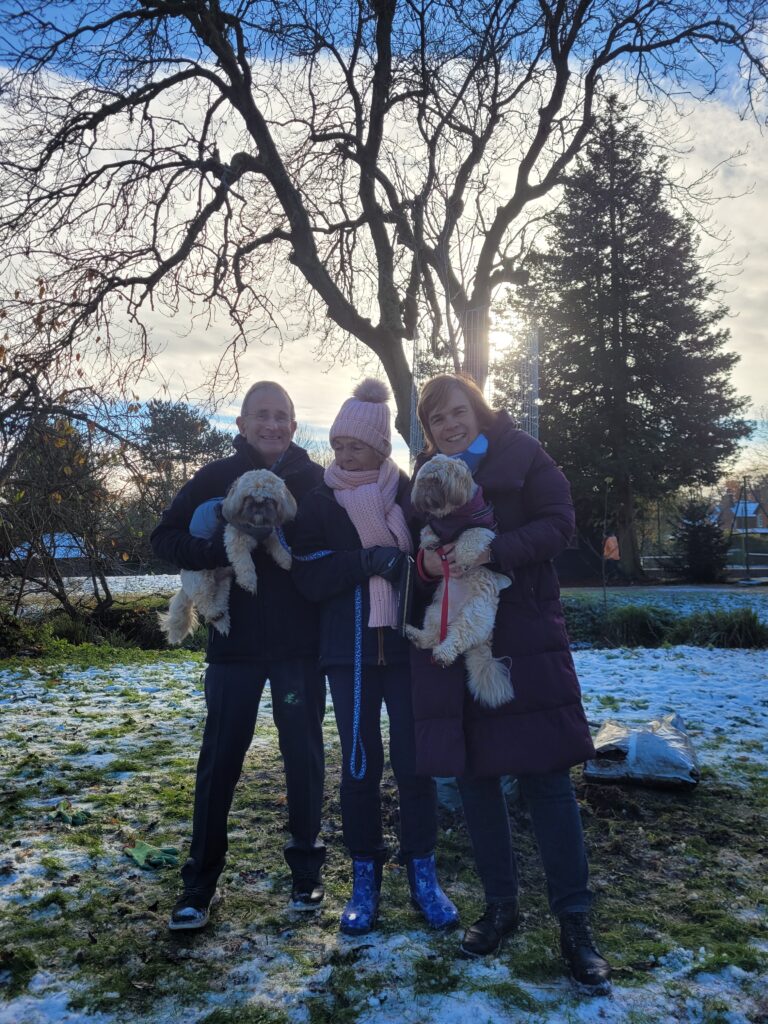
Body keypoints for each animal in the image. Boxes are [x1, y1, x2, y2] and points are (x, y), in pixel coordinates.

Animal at [159, 468, 296, 643]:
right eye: (248, 497)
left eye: (269, 499)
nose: (258, 504)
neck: (255, 526)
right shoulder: (235, 541)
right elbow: (245, 564)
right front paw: (249, 582)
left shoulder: (269, 534)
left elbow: (279, 547)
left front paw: (287, 560)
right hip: (201, 578)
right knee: (204, 601)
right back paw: (214, 613)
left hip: (223, 584)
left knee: (219, 601)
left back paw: (222, 622)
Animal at [403, 458, 518, 708]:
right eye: (422, 481)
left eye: (437, 481)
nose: (426, 489)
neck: (452, 517)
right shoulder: (433, 525)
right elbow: (427, 531)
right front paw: (430, 543)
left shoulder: (484, 530)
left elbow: (470, 537)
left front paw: (463, 559)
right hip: (435, 612)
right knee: (433, 637)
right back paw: (415, 635)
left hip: (472, 615)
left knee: (456, 638)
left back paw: (442, 655)